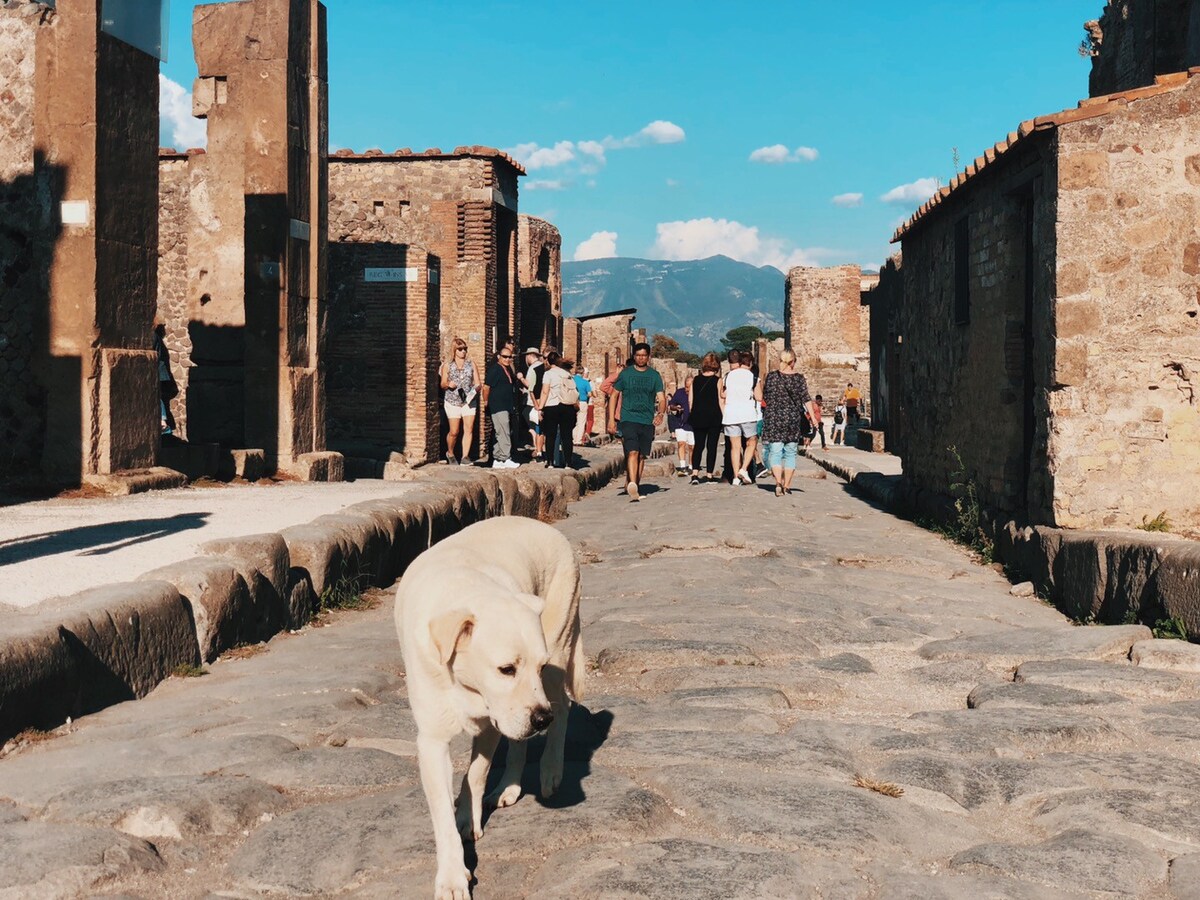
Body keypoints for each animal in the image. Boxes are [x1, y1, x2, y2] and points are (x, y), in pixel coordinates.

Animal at [398, 518, 585, 897]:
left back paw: (550, 768)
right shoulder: (433, 742)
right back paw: (510, 786)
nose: (541, 718)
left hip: (558, 652)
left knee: (563, 709)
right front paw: (453, 874)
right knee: (521, 741)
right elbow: (444, 811)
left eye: (538, 666)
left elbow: (476, 773)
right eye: (506, 669)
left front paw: (467, 819)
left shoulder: (493, 722)